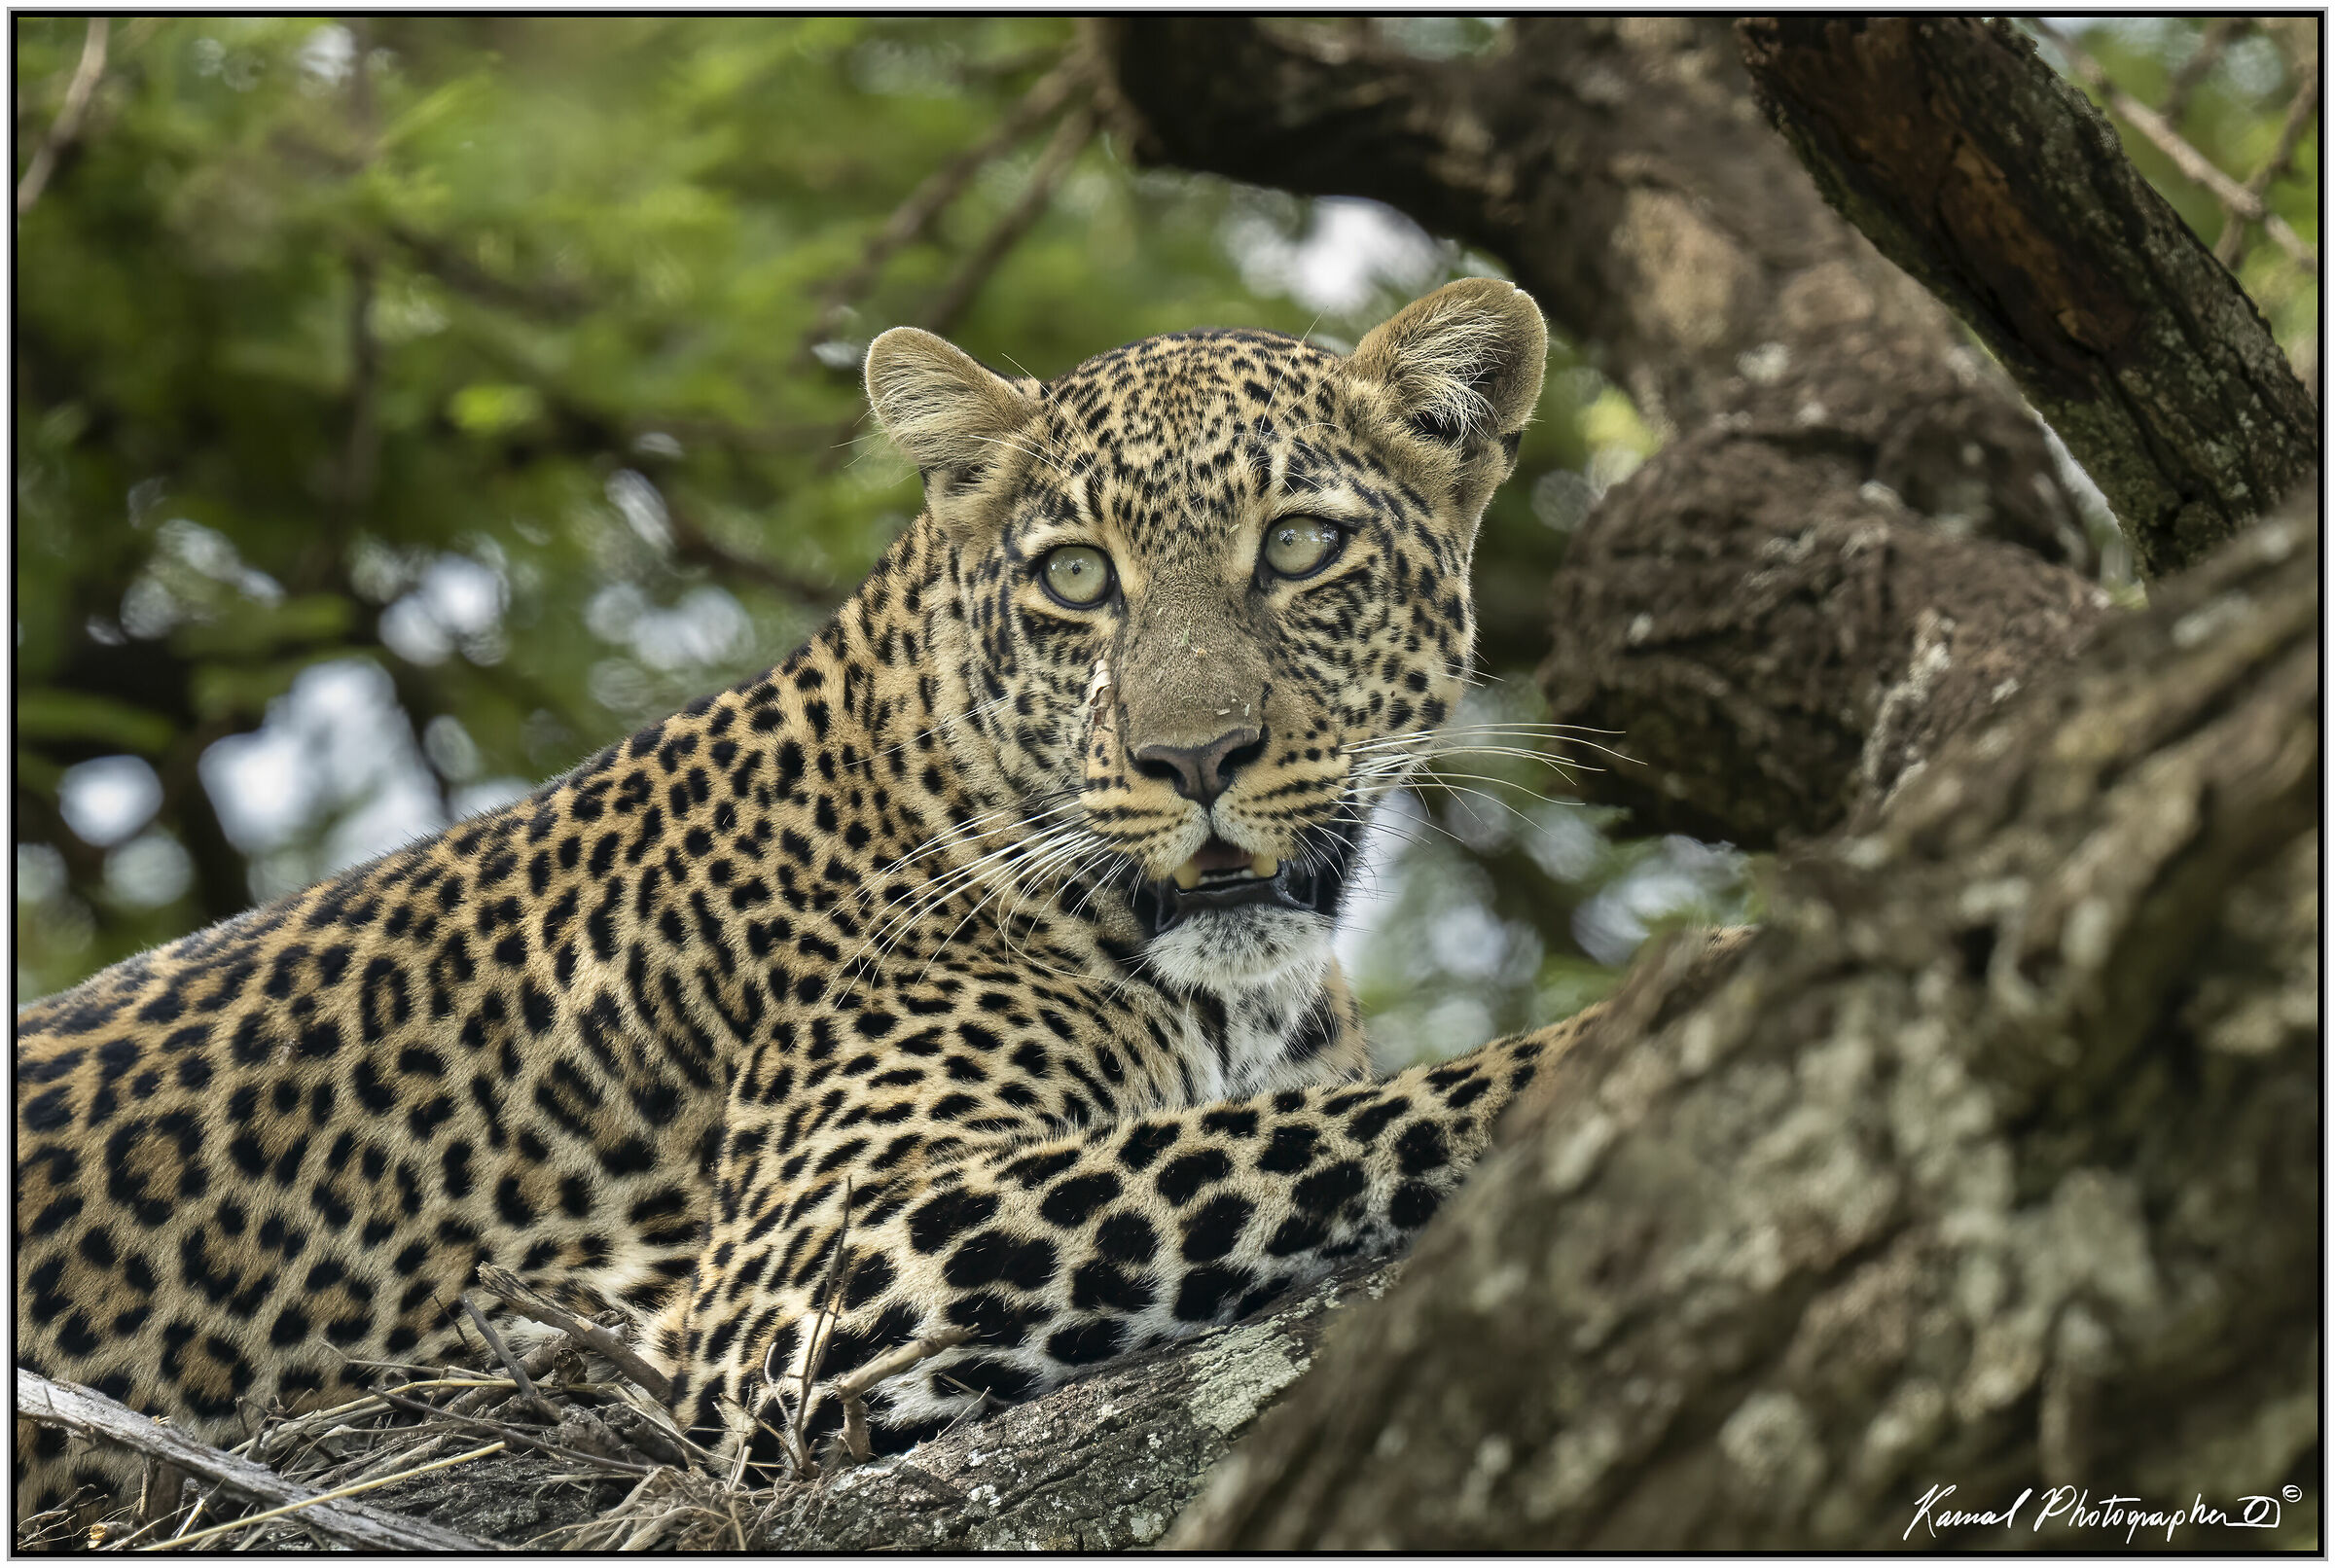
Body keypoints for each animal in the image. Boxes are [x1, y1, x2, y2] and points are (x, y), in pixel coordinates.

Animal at [16, 277, 1579, 1515]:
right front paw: (1581, 1051)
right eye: (1078, 577)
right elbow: (1317, 1131)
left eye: (1302, 545)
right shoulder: (815, 1270)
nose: (1192, 757)